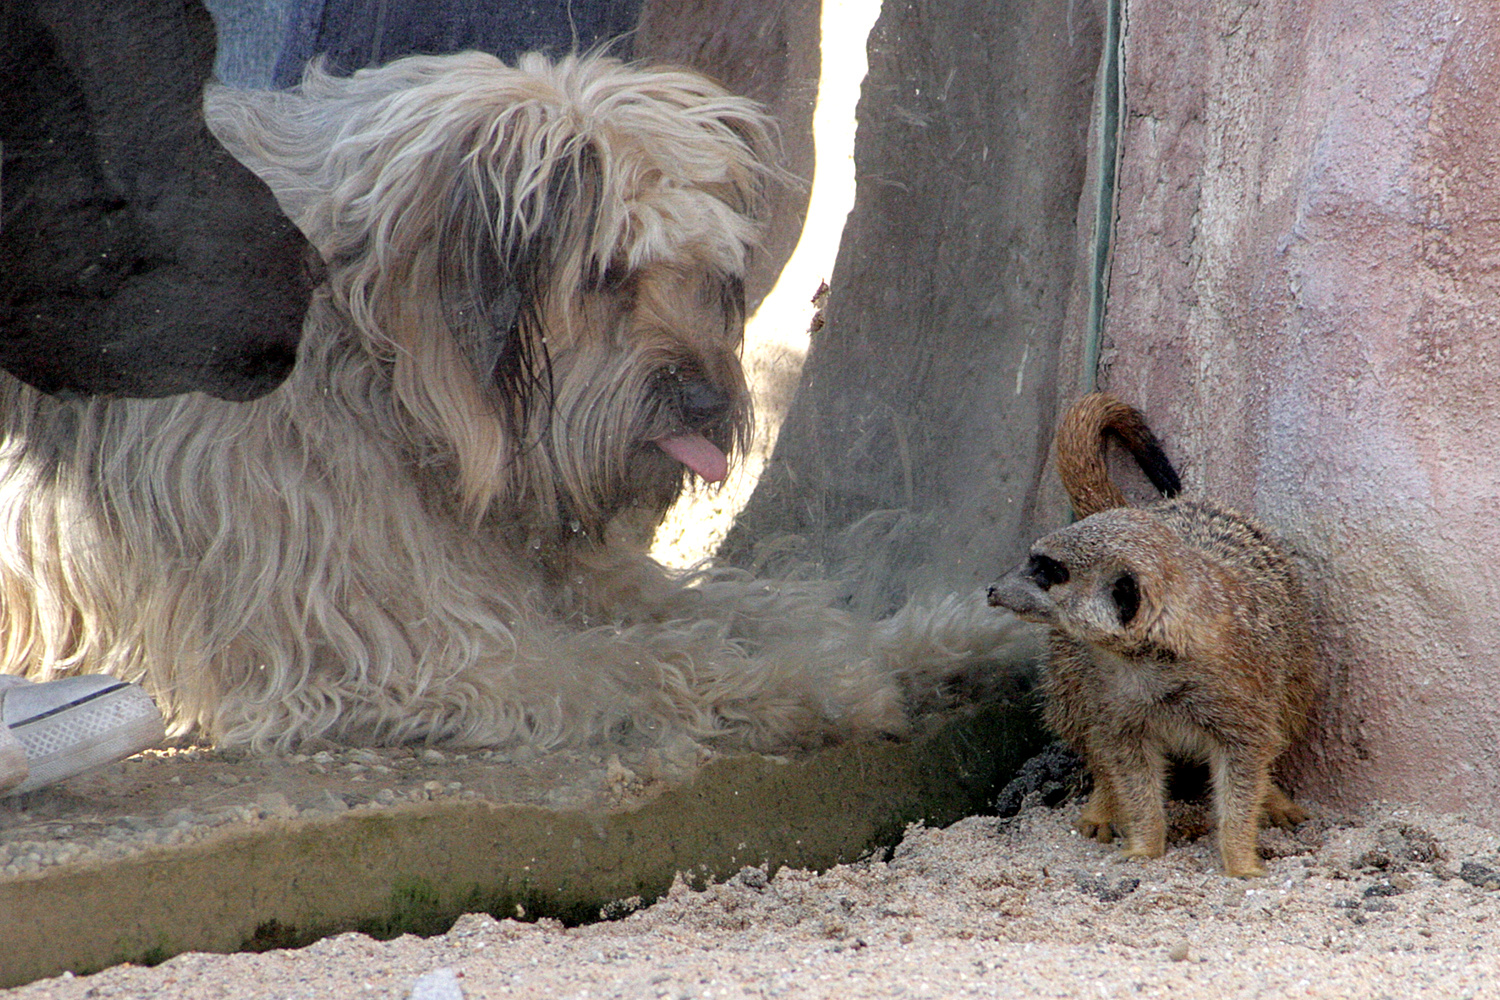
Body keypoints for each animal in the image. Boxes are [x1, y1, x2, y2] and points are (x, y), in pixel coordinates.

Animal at [0, 48, 1014, 749]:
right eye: (608, 274)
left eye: (707, 271)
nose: (706, 400)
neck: (377, 355)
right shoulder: (409, 648)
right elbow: (650, 662)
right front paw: (829, 685)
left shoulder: (564, 571)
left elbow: (765, 607)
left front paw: (940, 638)